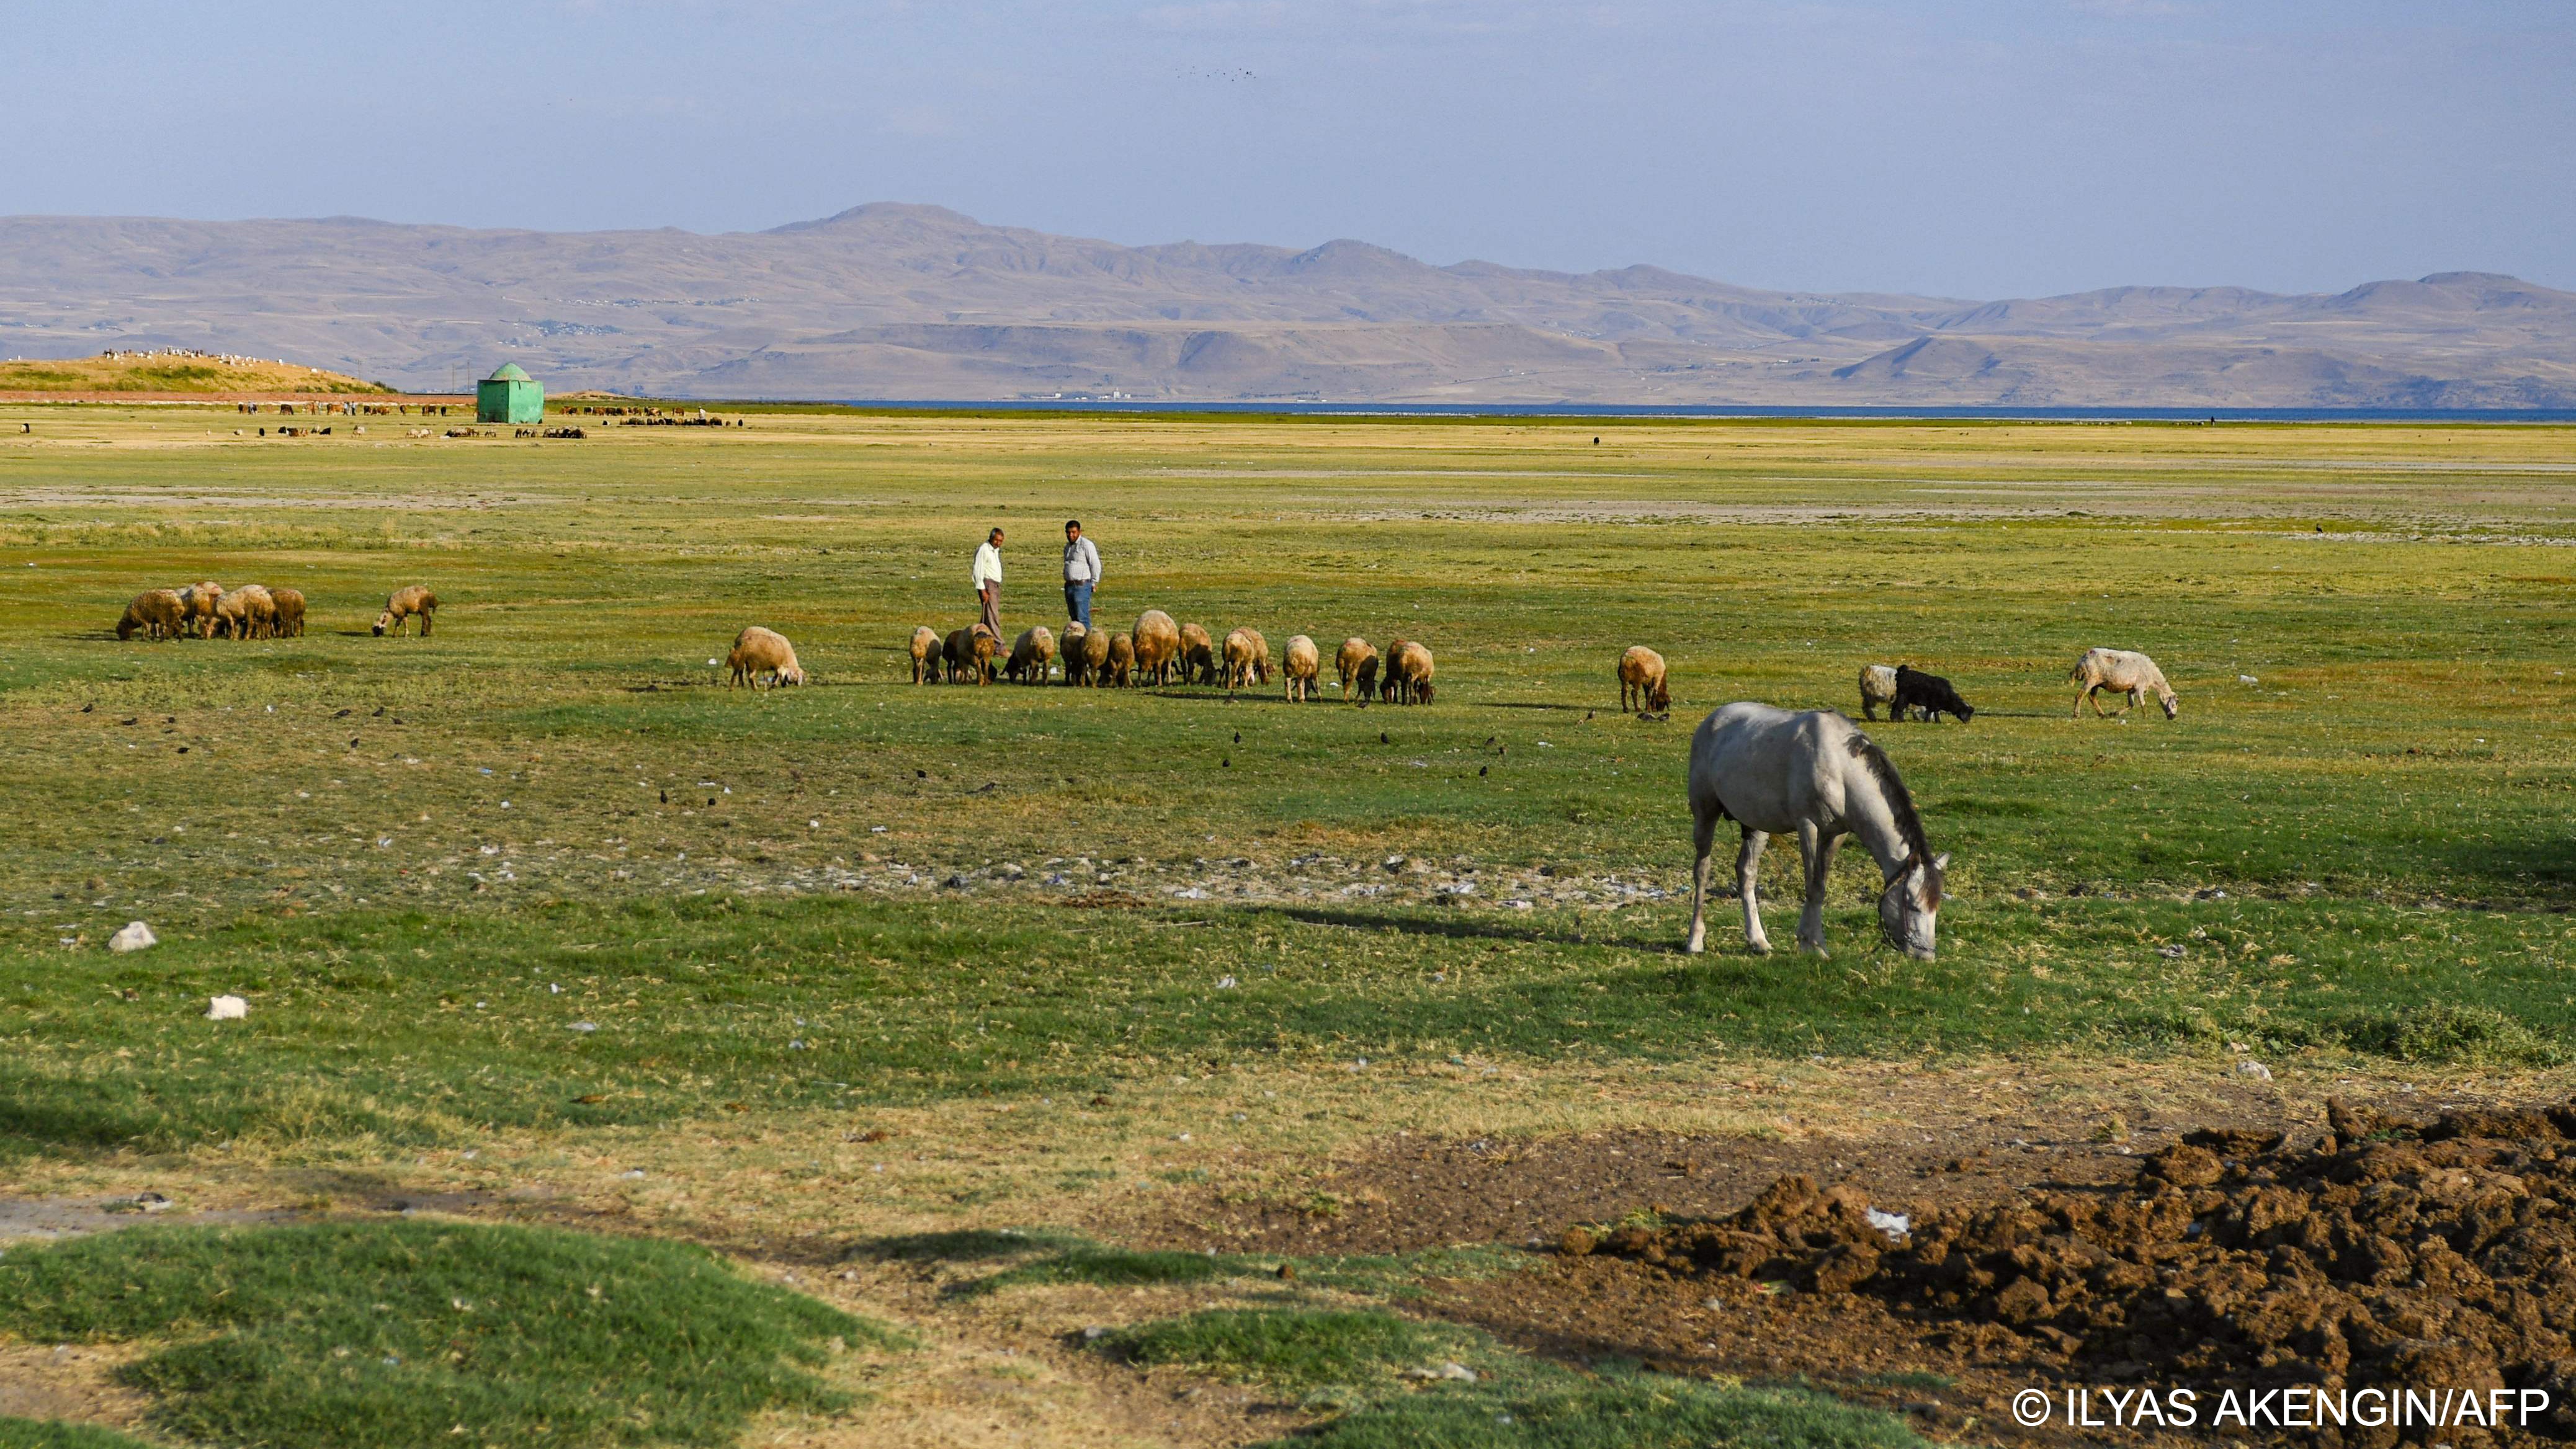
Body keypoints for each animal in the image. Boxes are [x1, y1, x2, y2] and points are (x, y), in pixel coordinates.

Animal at [1679, 705, 1937, 957]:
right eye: (1914, 906)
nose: (1926, 956)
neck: (1840, 767)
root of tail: (1712, 720)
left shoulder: (1836, 833)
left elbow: (1820, 885)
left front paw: (1811, 941)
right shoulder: (1808, 825)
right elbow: (1812, 885)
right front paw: (1812, 944)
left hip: (1756, 825)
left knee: (1747, 873)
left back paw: (1758, 940)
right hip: (1705, 813)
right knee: (1702, 871)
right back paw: (1695, 940)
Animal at [2060, 651, 2184, 720]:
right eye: (2175, 704)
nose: (2173, 717)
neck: (2153, 677)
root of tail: (2083, 659)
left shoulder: (2132, 689)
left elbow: (2131, 705)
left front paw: (2115, 714)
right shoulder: (2140, 687)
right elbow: (2142, 703)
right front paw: (2145, 717)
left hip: (2097, 682)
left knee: (2092, 697)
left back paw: (2103, 714)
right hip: (2091, 680)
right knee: (2080, 696)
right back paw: (2077, 715)